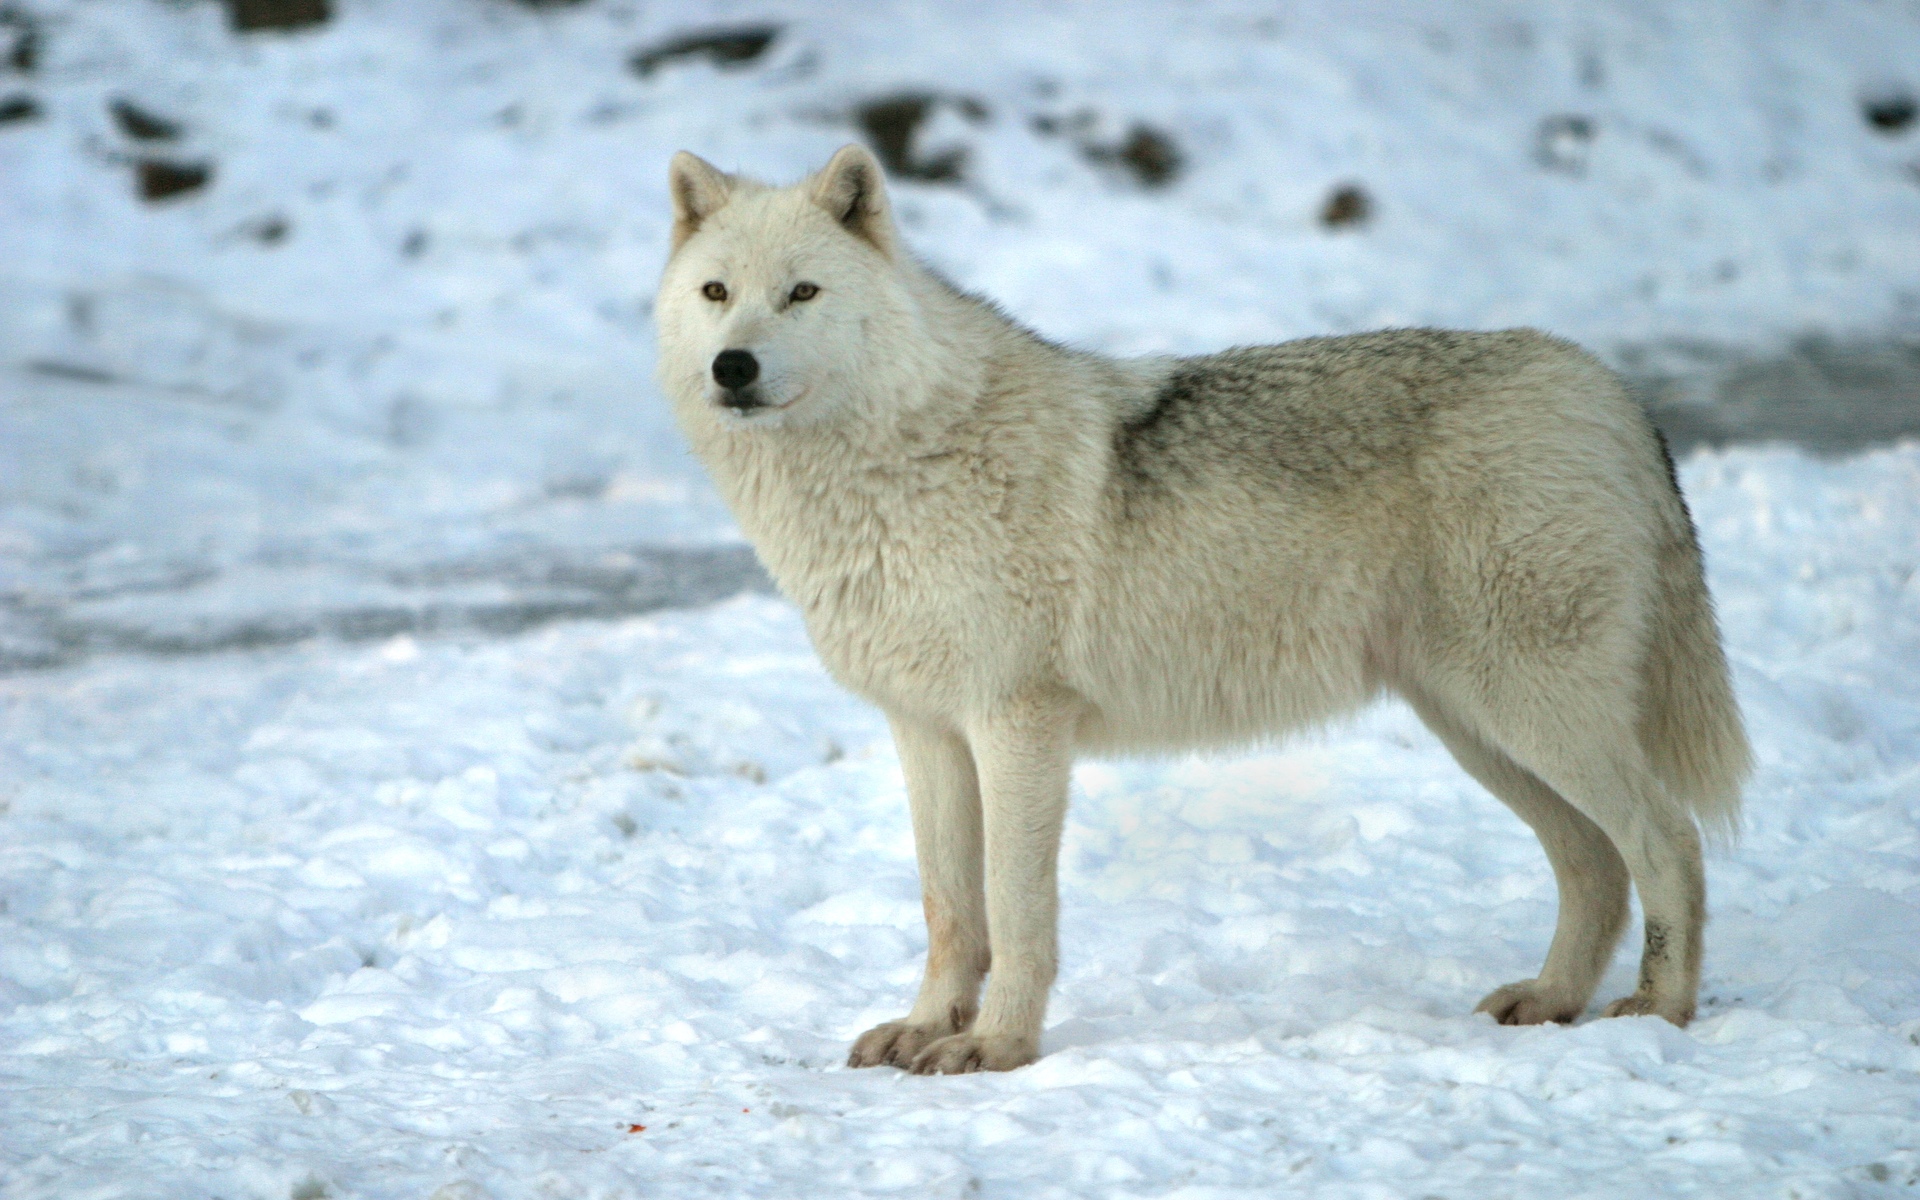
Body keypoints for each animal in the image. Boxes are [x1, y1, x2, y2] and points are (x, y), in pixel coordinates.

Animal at [654, 144, 1751, 1074]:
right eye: (717, 294)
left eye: (802, 293)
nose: (733, 368)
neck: (894, 463)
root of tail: (1609, 389)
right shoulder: (926, 732)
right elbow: (950, 910)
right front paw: (926, 1031)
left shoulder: (1018, 726)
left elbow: (1015, 911)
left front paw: (996, 1049)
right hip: (1479, 730)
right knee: (1594, 865)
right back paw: (1553, 1001)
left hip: (1531, 714)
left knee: (1670, 841)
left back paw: (1658, 1013)